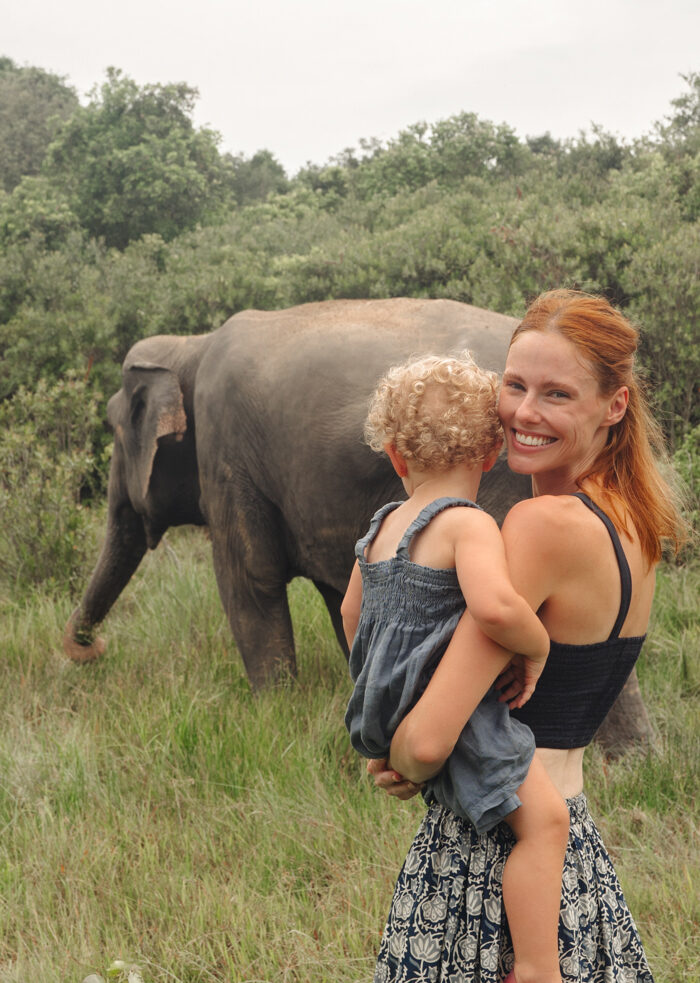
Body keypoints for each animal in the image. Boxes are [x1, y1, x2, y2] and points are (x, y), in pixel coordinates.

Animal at [63, 297, 652, 752]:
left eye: (114, 429)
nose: (91, 650)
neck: (190, 346)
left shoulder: (224, 452)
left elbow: (249, 580)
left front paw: (271, 717)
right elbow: (339, 593)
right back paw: (630, 761)